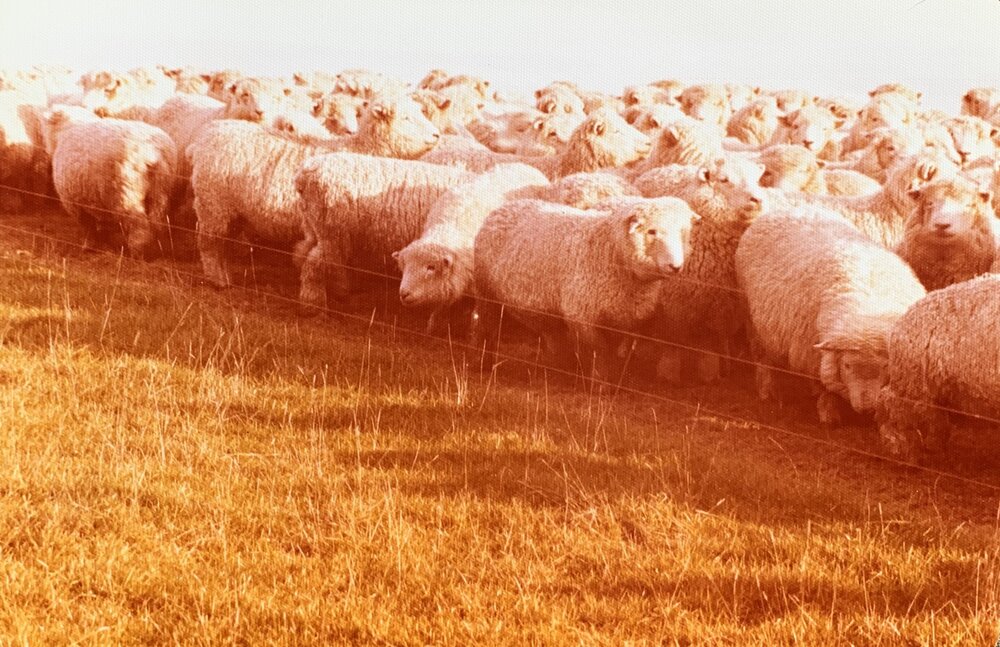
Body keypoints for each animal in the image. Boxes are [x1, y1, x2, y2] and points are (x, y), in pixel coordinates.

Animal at [41, 106, 176, 257]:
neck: (64, 130)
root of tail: (152, 154)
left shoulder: (74, 203)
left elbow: (88, 226)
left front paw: (89, 245)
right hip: (161, 191)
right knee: (157, 220)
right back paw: (156, 248)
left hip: (126, 194)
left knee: (138, 224)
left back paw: (137, 251)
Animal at [294, 153, 474, 309]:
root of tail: (305, 173)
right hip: (334, 235)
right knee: (315, 262)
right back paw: (313, 303)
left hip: (316, 228)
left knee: (304, 253)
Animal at [391, 163, 550, 332]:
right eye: (404, 267)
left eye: (431, 267)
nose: (404, 293)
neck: (448, 228)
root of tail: (525, 165)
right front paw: (433, 326)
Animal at [472, 197, 699, 380]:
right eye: (652, 231)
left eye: (683, 232)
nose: (675, 266)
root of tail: (506, 206)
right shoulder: (582, 315)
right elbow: (598, 350)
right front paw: (599, 384)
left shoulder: (618, 316)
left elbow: (611, 351)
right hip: (487, 294)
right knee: (487, 329)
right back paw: (485, 363)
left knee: (553, 334)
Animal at [736, 209, 926, 425]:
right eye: (847, 365)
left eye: (886, 366)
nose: (866, 408)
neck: (868, 311)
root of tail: (785, 209)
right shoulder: (812, 353)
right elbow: (824, 386)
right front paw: (829, 412)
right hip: (750, 315)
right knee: (761, 358)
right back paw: (767, 390)